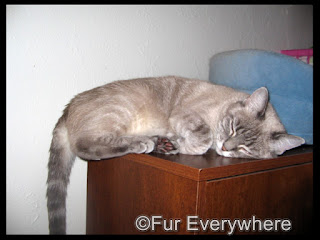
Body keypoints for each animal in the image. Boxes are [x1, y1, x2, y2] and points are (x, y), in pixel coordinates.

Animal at [47, 75, 304, 234]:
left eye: (245, 149)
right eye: (232, 127)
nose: (225, 148)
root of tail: (68, 107)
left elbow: (199, 142)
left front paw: (175, 144)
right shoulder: (187, 117)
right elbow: (203, 140)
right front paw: (184, 144)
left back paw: (158, 144)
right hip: (119, 113)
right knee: (86, 146)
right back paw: (147, 144)